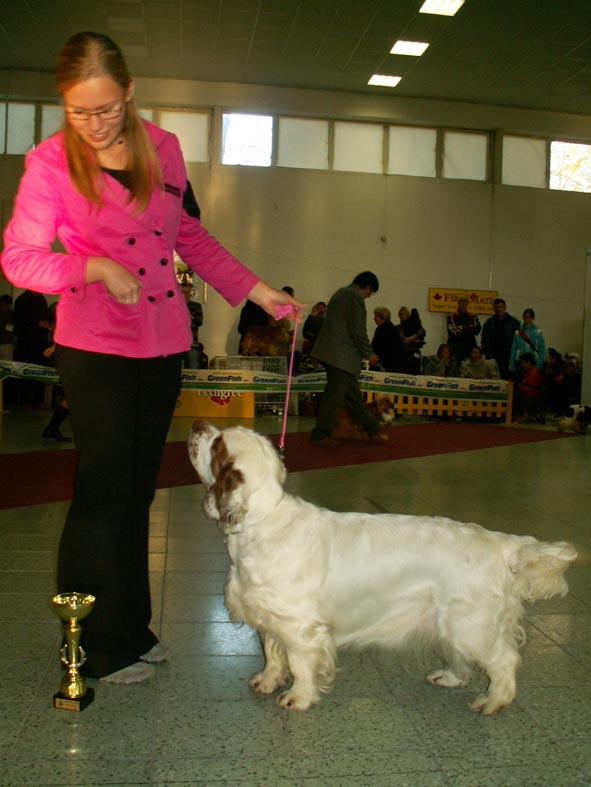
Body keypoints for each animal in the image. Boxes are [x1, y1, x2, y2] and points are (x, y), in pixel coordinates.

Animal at [188, 422, 580, 716]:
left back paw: (493, 701)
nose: (197, 426)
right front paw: (267, 682)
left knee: (505, 660)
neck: (262, 522)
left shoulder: (301, 628)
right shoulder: (270, 616)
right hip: (450, 624)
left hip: (471, 625)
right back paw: (449, 678)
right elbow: (272, 654)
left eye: (218, 445)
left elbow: (299, 665)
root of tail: (502, 544)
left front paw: (297, 698)